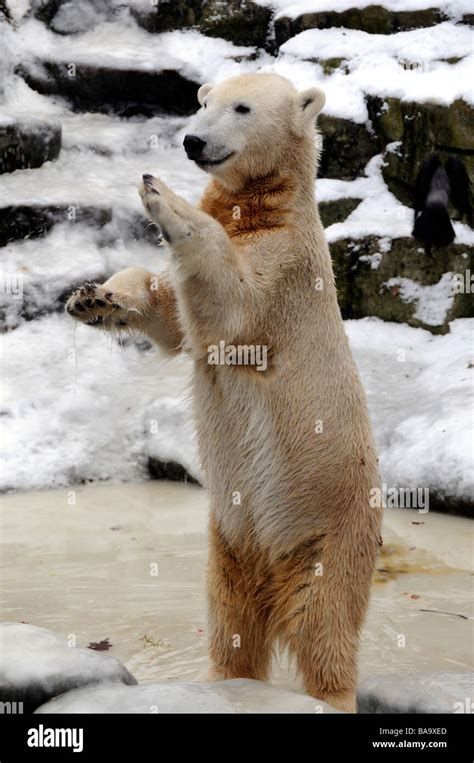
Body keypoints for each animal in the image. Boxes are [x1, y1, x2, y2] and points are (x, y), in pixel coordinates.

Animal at [67, 74, 382, 712]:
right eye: (203, 102)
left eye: (241, 108)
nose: (192, 141)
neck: (263, 207)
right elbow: (171, 313)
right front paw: (94, 297)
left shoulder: (285, 270)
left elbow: (230, 301)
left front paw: (163, 197)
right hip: (229, 539)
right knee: (231, 615)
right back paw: (222, 678)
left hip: (329, 530)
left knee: (324, 622)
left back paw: (330, 693)